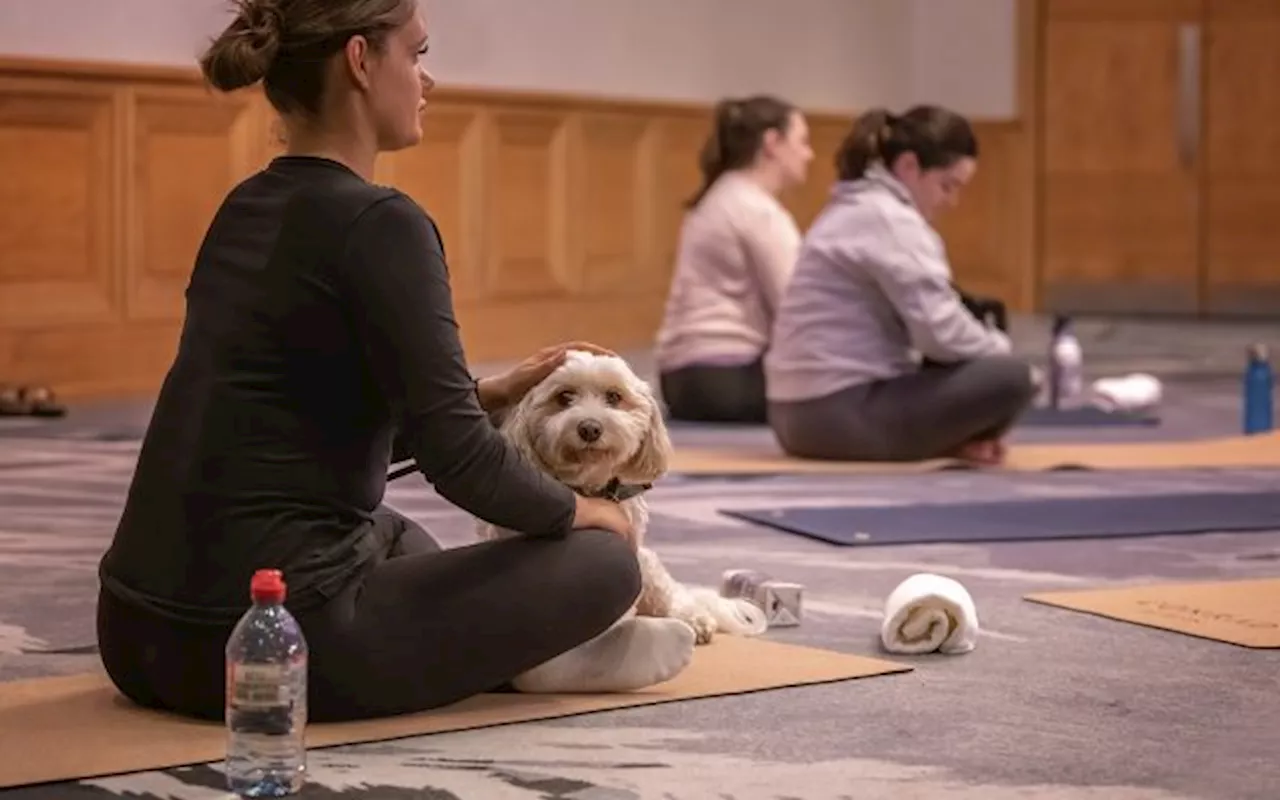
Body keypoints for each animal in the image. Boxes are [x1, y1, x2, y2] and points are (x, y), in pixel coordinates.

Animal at [476, 348, 762, 691]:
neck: (588, 488)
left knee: (673, 596)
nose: (589, 427)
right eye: (564, 397)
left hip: (647, 565)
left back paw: (693, 620)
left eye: (614, 397)